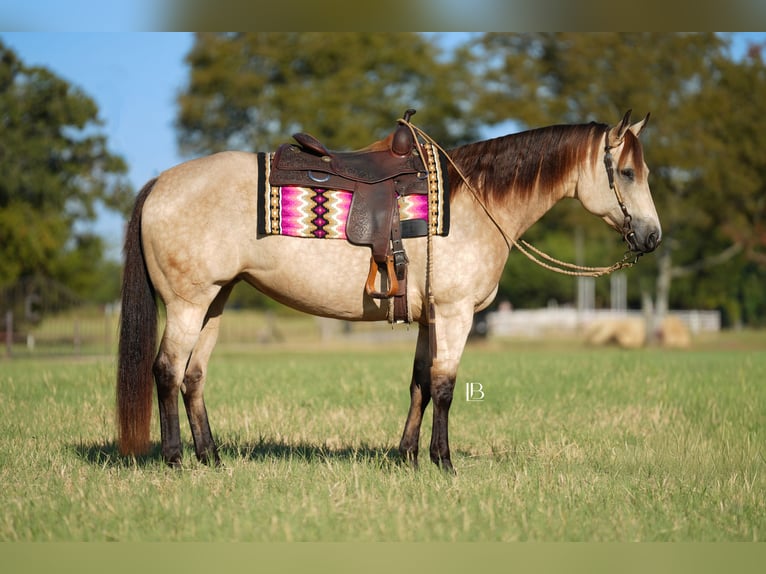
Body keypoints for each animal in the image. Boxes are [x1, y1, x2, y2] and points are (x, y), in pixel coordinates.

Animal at [116, 110, 661, 473]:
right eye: (627, 173)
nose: (652, 237)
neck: (473, 202)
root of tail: (160, 183)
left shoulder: (430, 318)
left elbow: (420, 383)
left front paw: (407, 457)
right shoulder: (456, 314)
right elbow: (444, 386)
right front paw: (443, 462)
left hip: (216, 300)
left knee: (193, 376)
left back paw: (210, 457)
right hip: (188, 303)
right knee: (167, 371)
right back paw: (175, 460)